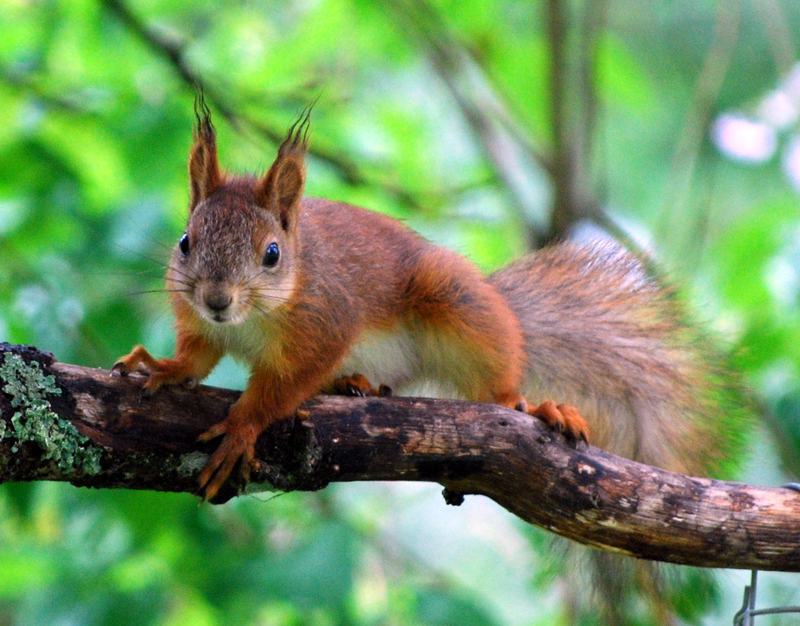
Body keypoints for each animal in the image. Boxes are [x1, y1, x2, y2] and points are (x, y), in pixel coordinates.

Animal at [113, 98, 741, 502]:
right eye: (186, 241)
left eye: (271, 254)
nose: (217, 299)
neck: (249, 319)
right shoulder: (198, 321)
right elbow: (196, 357)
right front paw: (162, 366)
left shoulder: (325, 323)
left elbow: (284, 387)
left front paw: (243, 427)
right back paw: (354, 383)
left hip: (457, 303)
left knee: (500, 391)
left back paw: (536, 406)